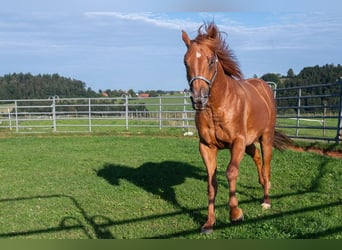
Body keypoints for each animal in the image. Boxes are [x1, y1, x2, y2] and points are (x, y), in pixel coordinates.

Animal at [182, 22, 292, 233]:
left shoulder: (238, 143)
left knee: (266, 165)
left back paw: (266, 199)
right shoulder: (207, 147)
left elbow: (231, 173)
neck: (218, 107)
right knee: (257, 158)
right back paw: (262, 183)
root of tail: (263, 87)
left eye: (210, 61)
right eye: (185, 62)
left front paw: (235, 213)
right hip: (250, 143)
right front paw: (209, 222)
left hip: (265, 138)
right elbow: (211, 184)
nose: (199, 99)